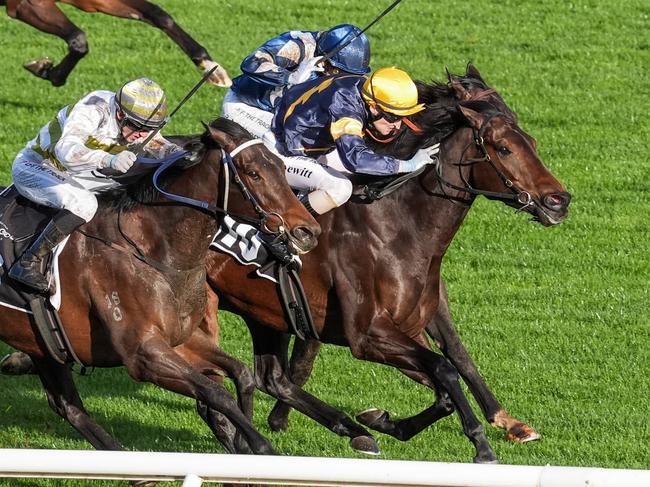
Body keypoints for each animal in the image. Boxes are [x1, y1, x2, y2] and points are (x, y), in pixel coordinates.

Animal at [0, 118, 318, 458]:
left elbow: (242, 374)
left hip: (40, 342)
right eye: (253, 172)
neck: (153, 251)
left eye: (280, 166)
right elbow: (214, 392)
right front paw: (258, 444)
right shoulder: (144, 355)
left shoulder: (181, 339)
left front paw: (243, 440)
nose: (308, 231)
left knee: (67, 406)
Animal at [201, 66, 568, 466]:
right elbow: (445, 369)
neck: (397, 226)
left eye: (531, 141)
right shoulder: (368, 334)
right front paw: (482, 445)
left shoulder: (409, 325)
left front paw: (381, 420)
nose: (559, 200)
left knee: (271, 378)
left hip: (263, 312)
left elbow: (448, 374)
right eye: (503, 148)